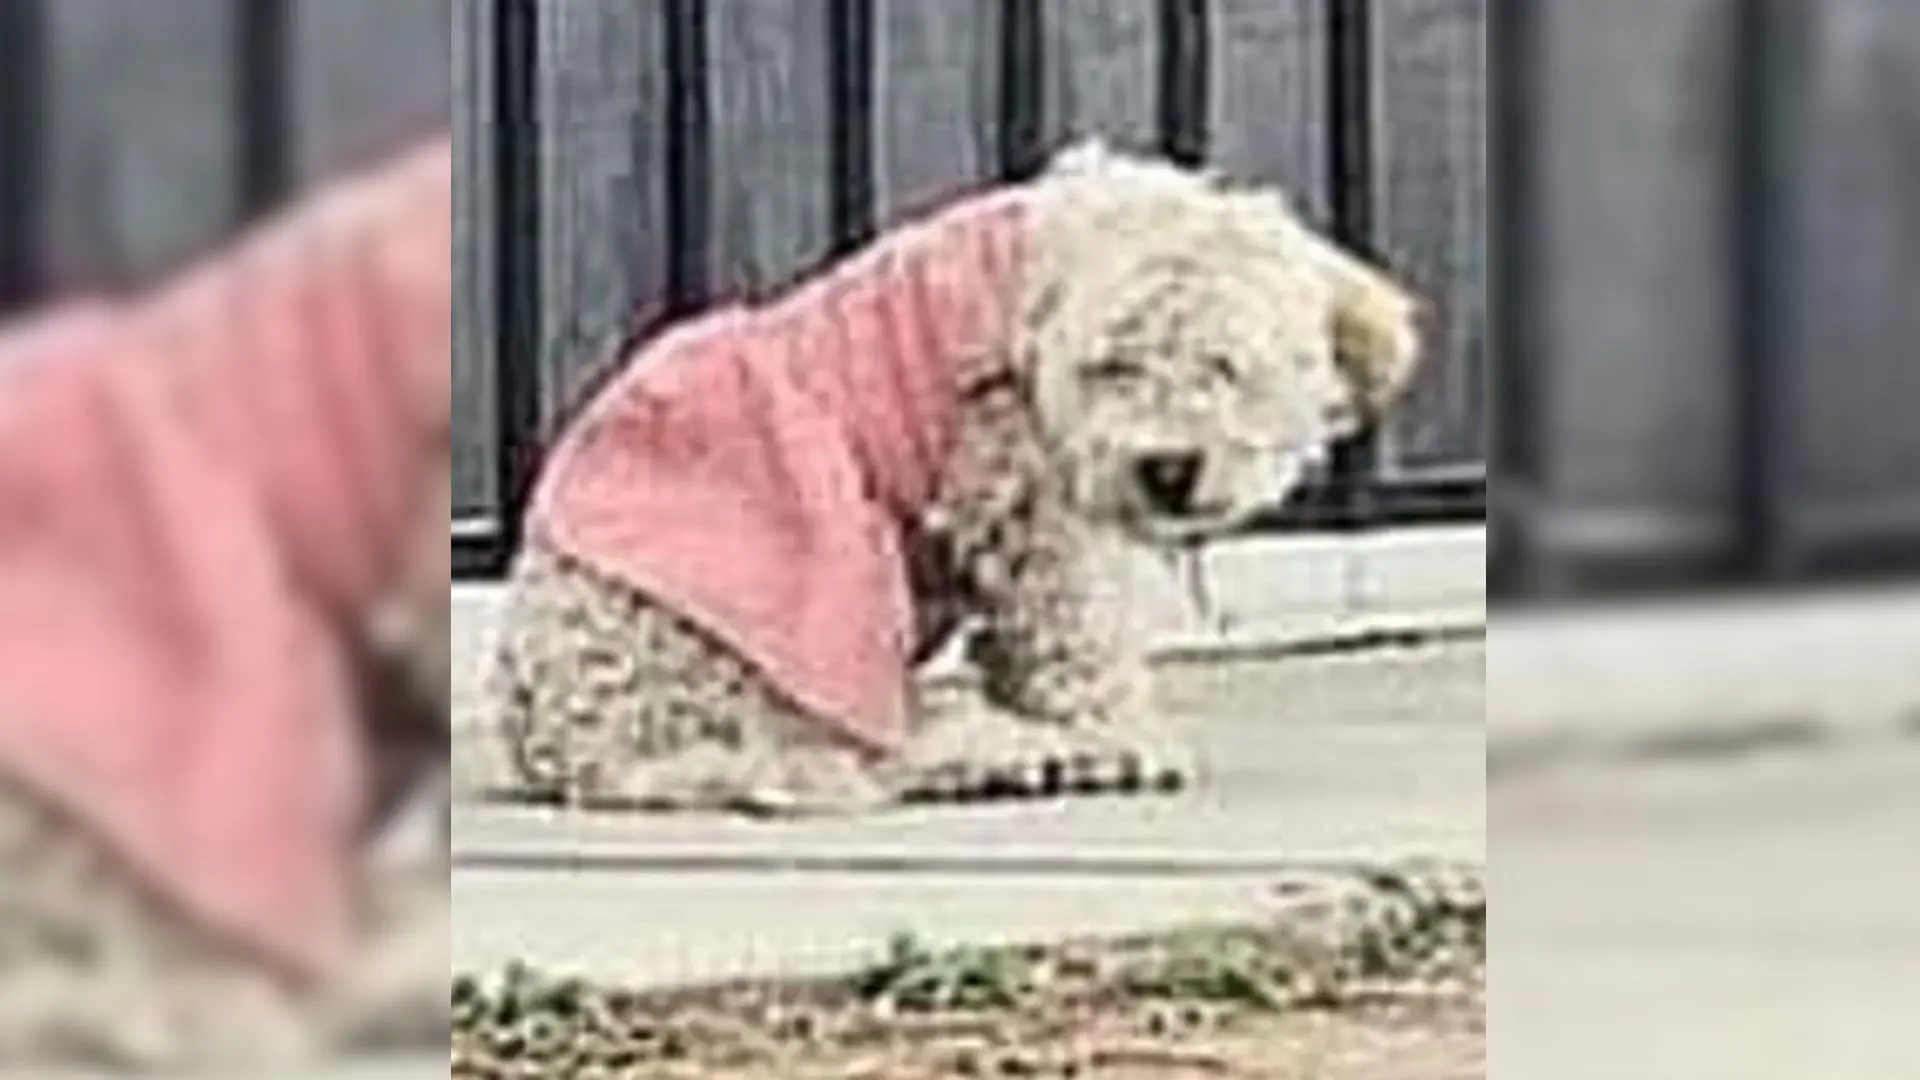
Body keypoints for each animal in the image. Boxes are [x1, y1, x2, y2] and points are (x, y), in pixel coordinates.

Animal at [487, 141, 1420, 814]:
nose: (1166, 468)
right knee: (853, 749)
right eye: (1112, 367)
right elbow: (1077, 625)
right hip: (760, 632)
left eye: (1225, 366)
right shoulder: (1024, 490)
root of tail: (562, 740)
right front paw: (1120, 733)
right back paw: (1000, 753)